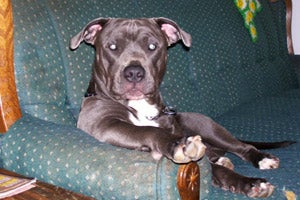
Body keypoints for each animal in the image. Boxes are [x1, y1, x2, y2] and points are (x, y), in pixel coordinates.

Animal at [69, 17, 292, 198]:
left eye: (152, 46)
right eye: (112, 46)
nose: (134, 73)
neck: (141, 107)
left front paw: (250, 183)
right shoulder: (106, 125)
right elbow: (146, 130)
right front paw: (176, 144)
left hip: (208, 126)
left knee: (240, 147)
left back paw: (261, 158)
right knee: (215, 156)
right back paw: (221, 159)